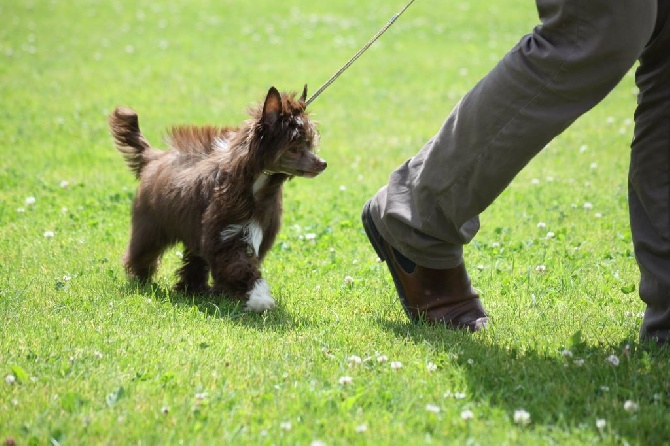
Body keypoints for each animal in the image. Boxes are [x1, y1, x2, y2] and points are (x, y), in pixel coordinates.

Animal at [109, 86, 328, 310]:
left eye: (309, 144)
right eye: (295, 148)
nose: (323, 163)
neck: (257, 184)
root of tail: (153, 157)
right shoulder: (227, 229)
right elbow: (237, 263)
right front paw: (258, 297)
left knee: (195, 258)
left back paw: (193, 289)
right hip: (151, 223)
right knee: (145, 251)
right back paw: (141, 279)